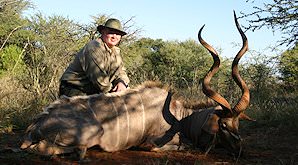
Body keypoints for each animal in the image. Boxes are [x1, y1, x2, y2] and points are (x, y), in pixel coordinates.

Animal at [19, 11, 250, 159]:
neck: (181, 117)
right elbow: (182, 146)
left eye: (238, 123)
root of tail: (35, 124)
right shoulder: (153, 143)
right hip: (91, 134)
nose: (240, 150)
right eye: (223, 125)